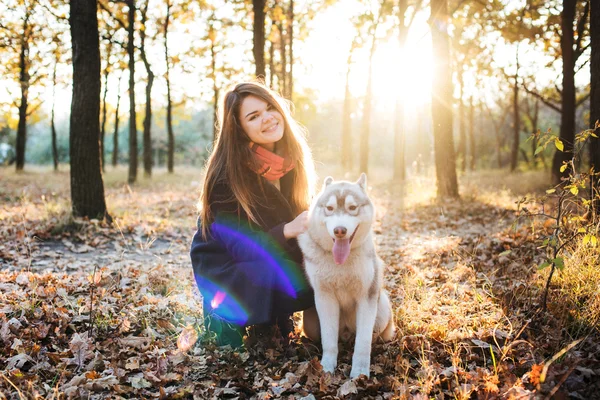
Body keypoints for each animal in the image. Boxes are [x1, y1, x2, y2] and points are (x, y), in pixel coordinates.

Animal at [298, 173, 396, 376]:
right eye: (329, 208)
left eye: (352, 208)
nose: (339, 230)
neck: (341, 264)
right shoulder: (324, 297)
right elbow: (328, 340)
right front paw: (326, 368)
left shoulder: (367, 297)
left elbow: (363, 342)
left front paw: (359, 372)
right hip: (310, 323)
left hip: (381, 308)